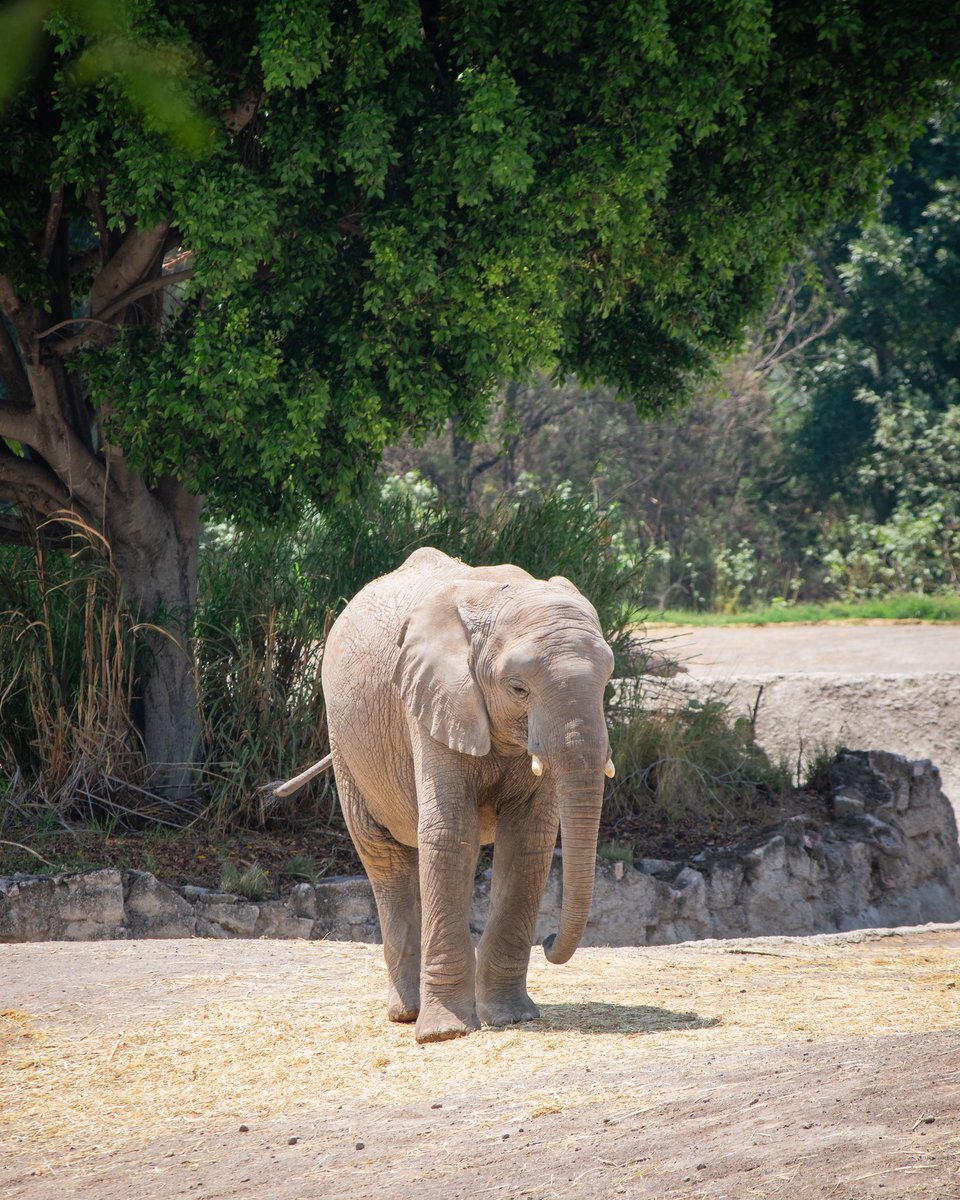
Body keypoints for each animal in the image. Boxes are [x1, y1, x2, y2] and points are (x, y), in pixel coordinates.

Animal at [315, 546, 615, 1043]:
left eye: (608, 681)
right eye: (518, 688)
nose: (550, 940)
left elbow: (529, 839)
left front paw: (511, 1018)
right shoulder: (432, 697)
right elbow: (451, 833)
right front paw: (445, 1034)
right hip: (344, 743)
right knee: (384, 855)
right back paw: (408, 1014)